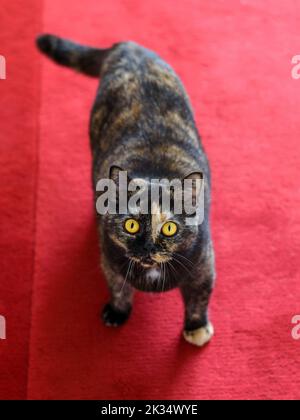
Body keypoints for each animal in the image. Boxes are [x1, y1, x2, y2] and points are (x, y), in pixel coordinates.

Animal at [36, 34, 216, 346]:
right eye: (131, 225)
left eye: (170, 228)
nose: (148, 248)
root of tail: (128, 46)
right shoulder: (109, 260)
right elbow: (118, 288)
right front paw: (117, 312)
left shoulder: (204, 265)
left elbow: (198, 299)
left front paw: (196, 329)